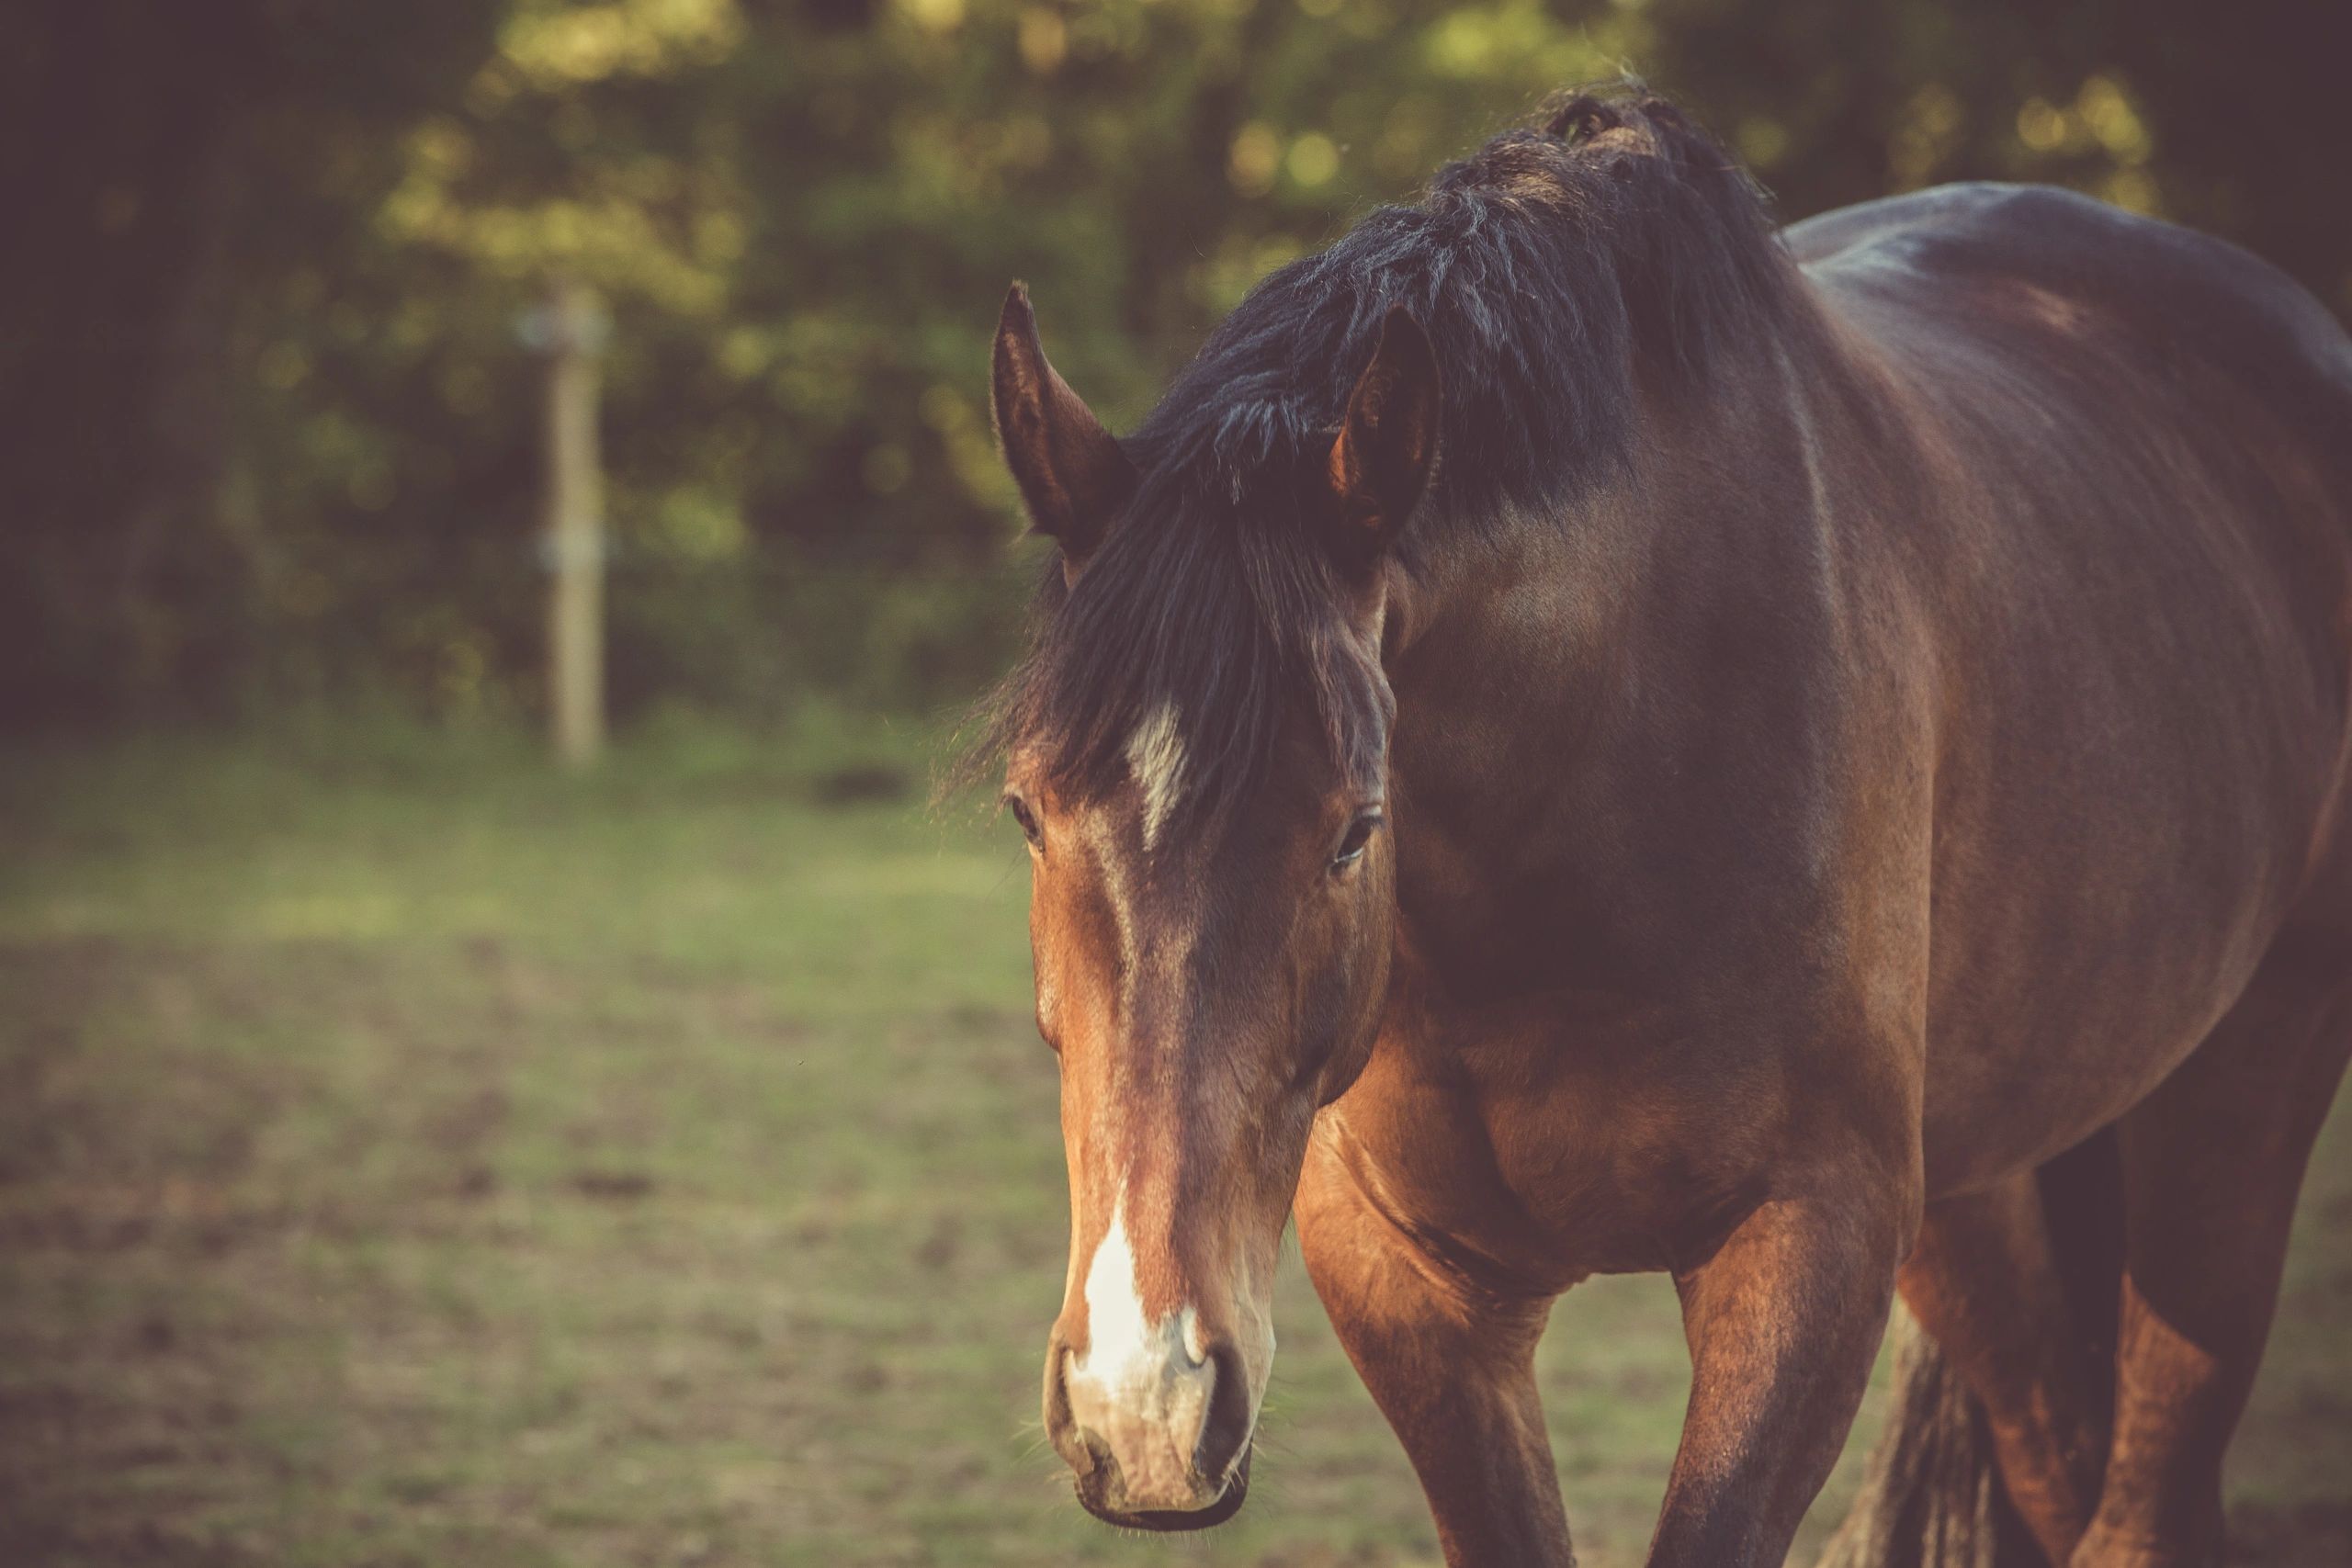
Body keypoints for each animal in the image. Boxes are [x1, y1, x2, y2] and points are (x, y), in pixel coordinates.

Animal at [972, 88, 2352, 1567]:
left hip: (2240, 1090)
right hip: (1978, 1199)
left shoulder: (1808, 1250)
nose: (1145, 1400)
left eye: (1354, 828)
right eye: (1028, 811)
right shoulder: (1411, 1281)